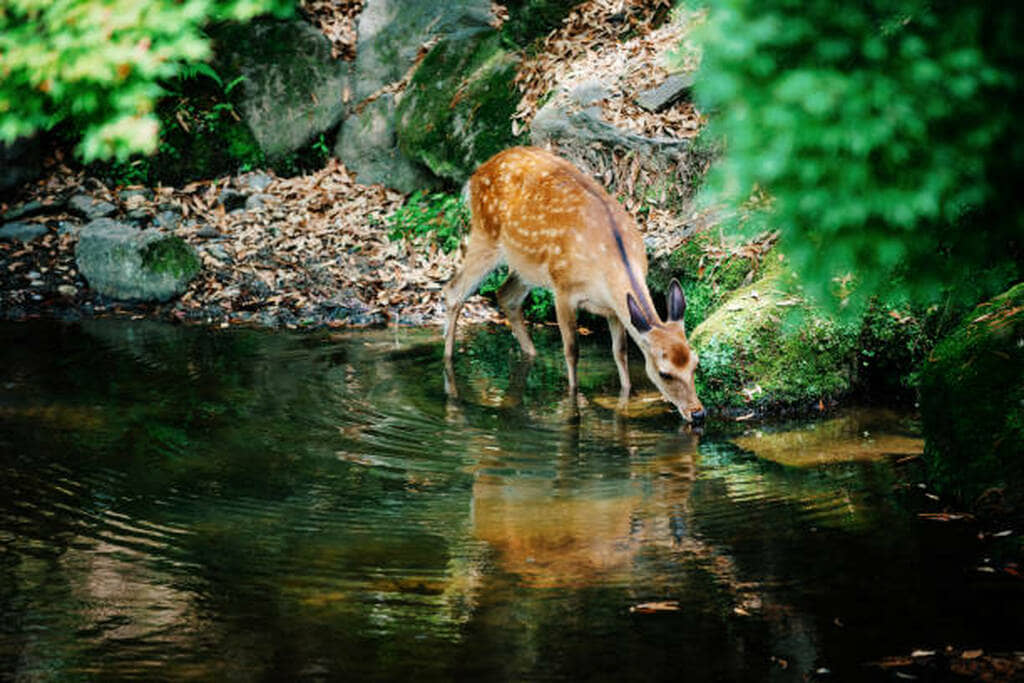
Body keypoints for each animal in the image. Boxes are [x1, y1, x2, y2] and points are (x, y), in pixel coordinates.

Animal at [442, 146, 705, 424]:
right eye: (665, 373)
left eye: (695, 363)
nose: (698, 412)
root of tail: (477, 173)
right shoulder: (563, 290)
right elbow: (571, 350)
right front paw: (573, 402)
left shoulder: (614, 308)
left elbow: (620, 352)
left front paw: (626, 395)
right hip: (486, 236)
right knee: (453, 291)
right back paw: (448, 367)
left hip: (527, 265)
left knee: (505, 295)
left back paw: (531, 355)